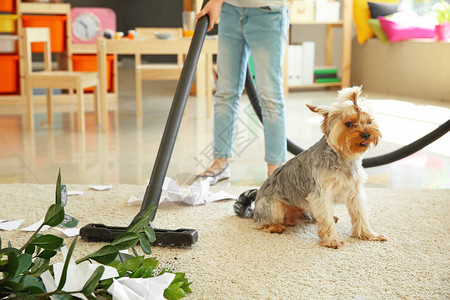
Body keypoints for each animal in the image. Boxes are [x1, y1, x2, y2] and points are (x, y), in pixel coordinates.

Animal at [236, 86, 386, 248]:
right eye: (349, 124)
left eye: (369, 121)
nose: (367, 134)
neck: (343, 157)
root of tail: (255, 208)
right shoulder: (321, 195)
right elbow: (326, 220)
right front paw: (331, 241)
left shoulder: (355, 194)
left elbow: (360, 215)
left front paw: (368, 235)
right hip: (274, 206)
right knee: (262, 223)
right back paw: (275, 226)